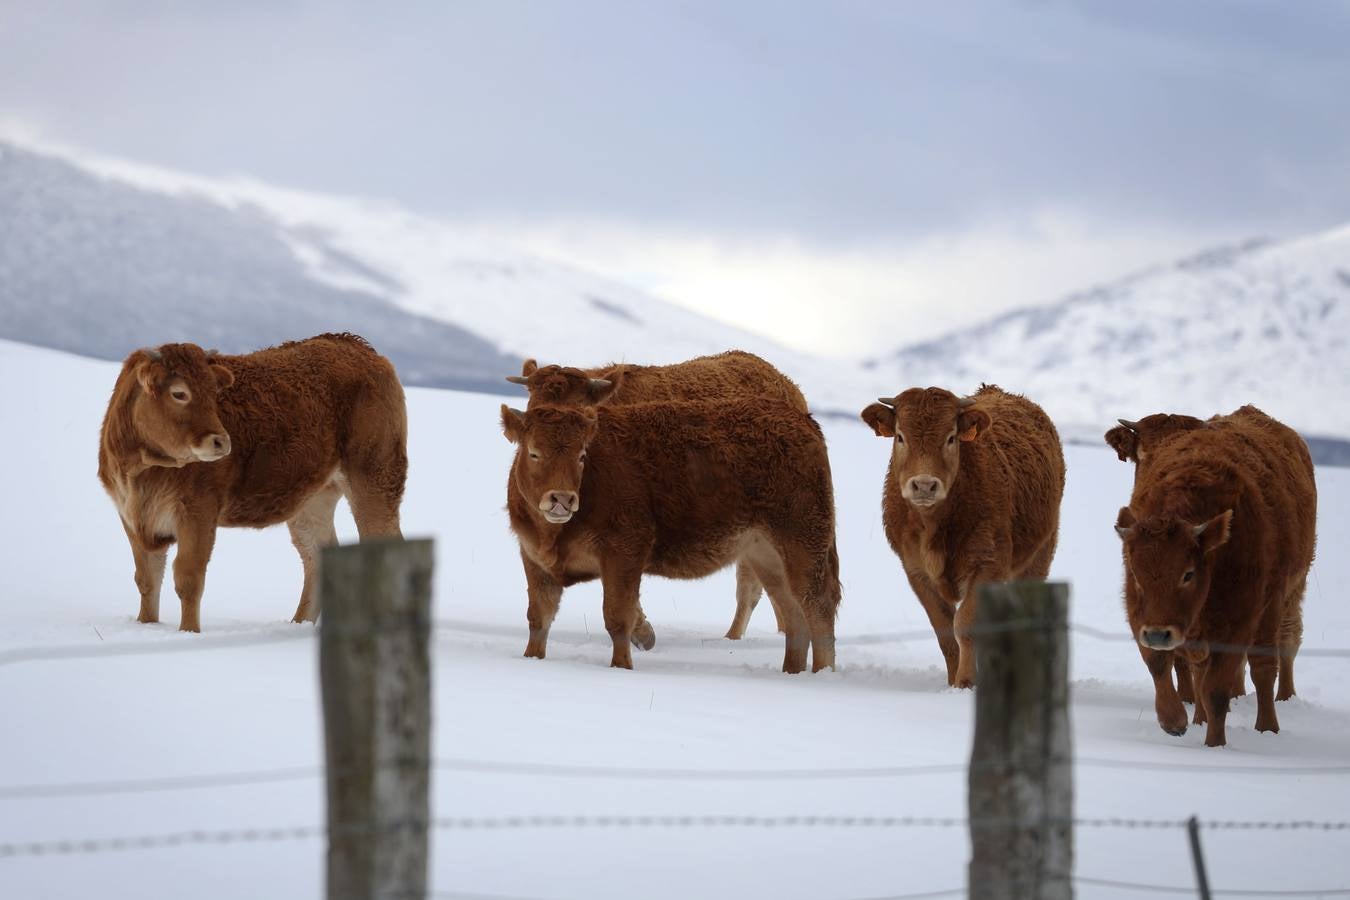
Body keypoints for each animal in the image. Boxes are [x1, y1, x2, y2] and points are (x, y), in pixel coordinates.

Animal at [98, 333, 405, 634]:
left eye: (214, 393)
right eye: (179, 393)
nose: (221, 441)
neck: (141, 471)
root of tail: (358, 346)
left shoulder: (199, 511)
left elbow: (188, 578)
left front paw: (189, 633)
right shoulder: (131, 517)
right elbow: (147, 579)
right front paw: (147, 625)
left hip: (375, 478)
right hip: (312, 500)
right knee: (316, 556)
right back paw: (299, 624)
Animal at [502, 396, 837, 671]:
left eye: (582, 455)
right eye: (533, 453)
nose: (562, 499)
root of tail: (802, 419)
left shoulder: (623, 555)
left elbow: (617, 617)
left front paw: (621, 667)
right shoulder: (534, 558)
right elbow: (539, 616)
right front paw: (532, 658)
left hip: (803, 546)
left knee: (818, 606)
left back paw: (821, 673)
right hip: (766, 555)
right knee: (793, 613)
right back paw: (791, 672)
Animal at [864, 388, 1063, 690]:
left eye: (951, 437)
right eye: (900, 436)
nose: (924, 485)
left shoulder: (987, 565)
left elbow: (965, 625)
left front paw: (966, 682)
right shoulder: (915, 571)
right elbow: (945, 631)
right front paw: (952, 681)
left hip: (1038, 557)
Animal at [1117, 407, 1317, 744]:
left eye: (1188, 574)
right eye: (1136, 570)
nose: (1158, 634)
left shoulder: (1246, 614)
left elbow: (1225, 684)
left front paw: (1219, 743)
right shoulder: (1141, 612)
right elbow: (1160, 663)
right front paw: (1175, 721)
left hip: (1290, 591)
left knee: (1282, 646)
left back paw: (1278, 709)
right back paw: (1201, 717)